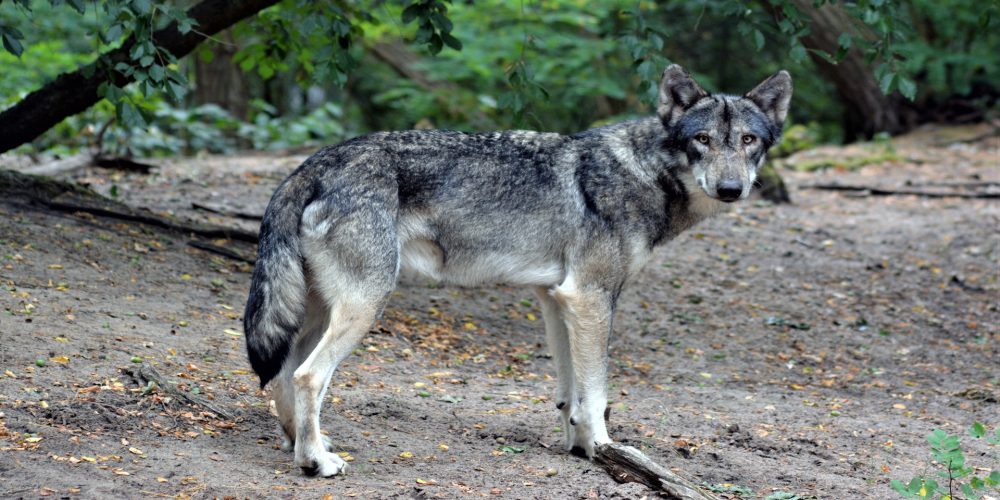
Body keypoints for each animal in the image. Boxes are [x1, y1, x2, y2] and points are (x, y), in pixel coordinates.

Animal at [243, 65, 792, 476]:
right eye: (703, 139)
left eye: (747, 140)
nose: (730, 189)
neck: (643, 172)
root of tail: (312, 164)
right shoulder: (590, 298)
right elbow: (597, 392)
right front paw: (605, 450)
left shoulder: (557, 298)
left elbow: (570, 393)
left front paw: (579, 449)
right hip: (365, 305)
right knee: (309, 376)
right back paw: (316, 463)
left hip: (321, 310)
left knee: (286, 372)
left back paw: (300, 445)